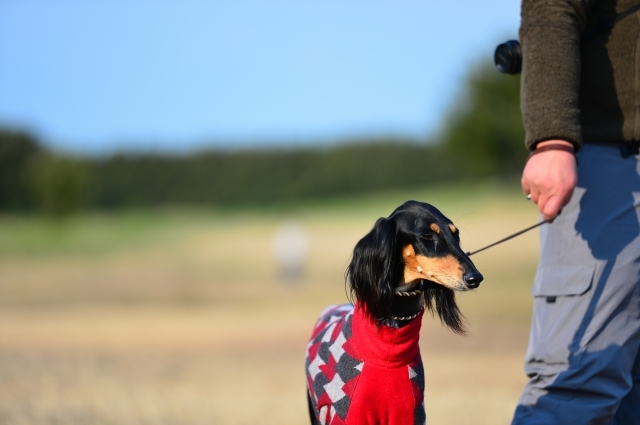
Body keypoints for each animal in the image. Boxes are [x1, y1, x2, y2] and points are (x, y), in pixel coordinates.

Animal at [304, 200, 480, 424]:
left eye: (455, 234)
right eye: (428, 235)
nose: (476, 278)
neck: (388, 349)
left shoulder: (409, 415)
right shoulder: (346, 415)